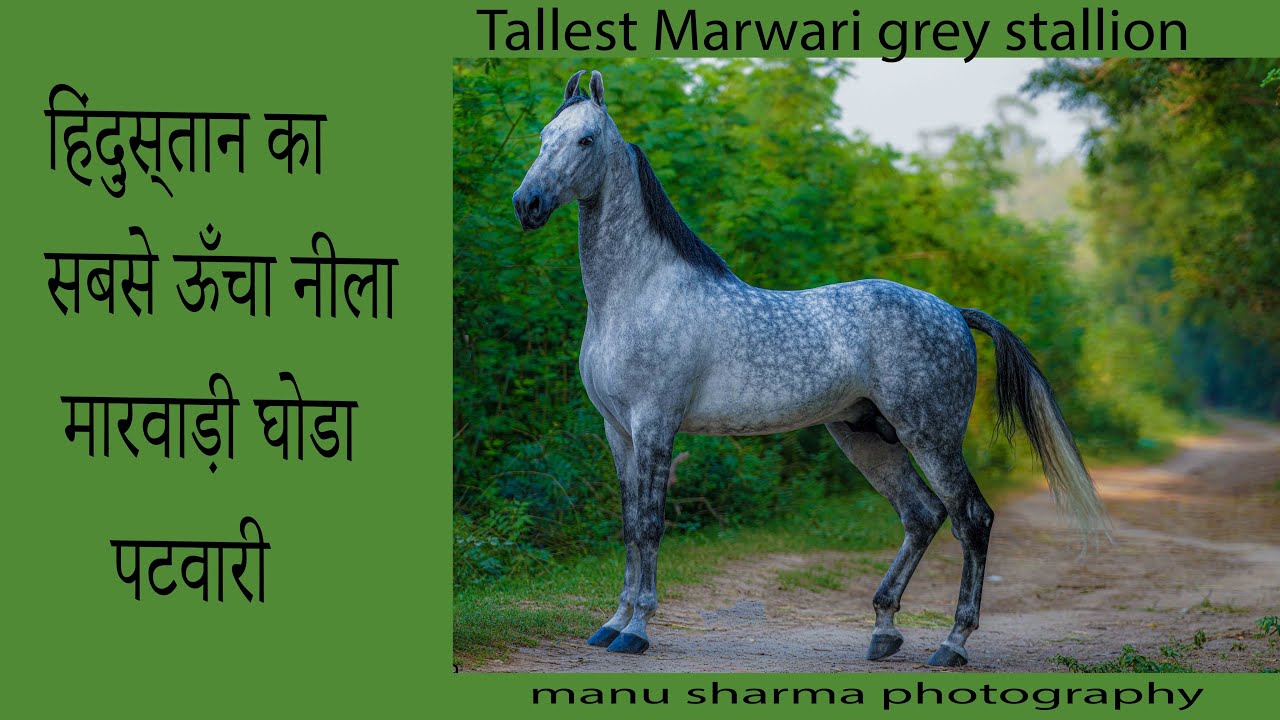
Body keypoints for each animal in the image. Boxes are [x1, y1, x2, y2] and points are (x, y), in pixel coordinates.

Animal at [511, 69, 1108, 667]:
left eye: (585, 139)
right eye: (543, 135)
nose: (526, 203)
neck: (636, 294)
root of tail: (955, 313)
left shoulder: (655, 424)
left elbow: (651, 526)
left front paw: (636, 630)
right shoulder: (618, 430)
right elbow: (629, 527)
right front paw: (612, 625)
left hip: (930, 436)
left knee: (971, 518)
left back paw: (951, 643)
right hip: (866, 436)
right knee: (922, 515)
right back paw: (884, 632)